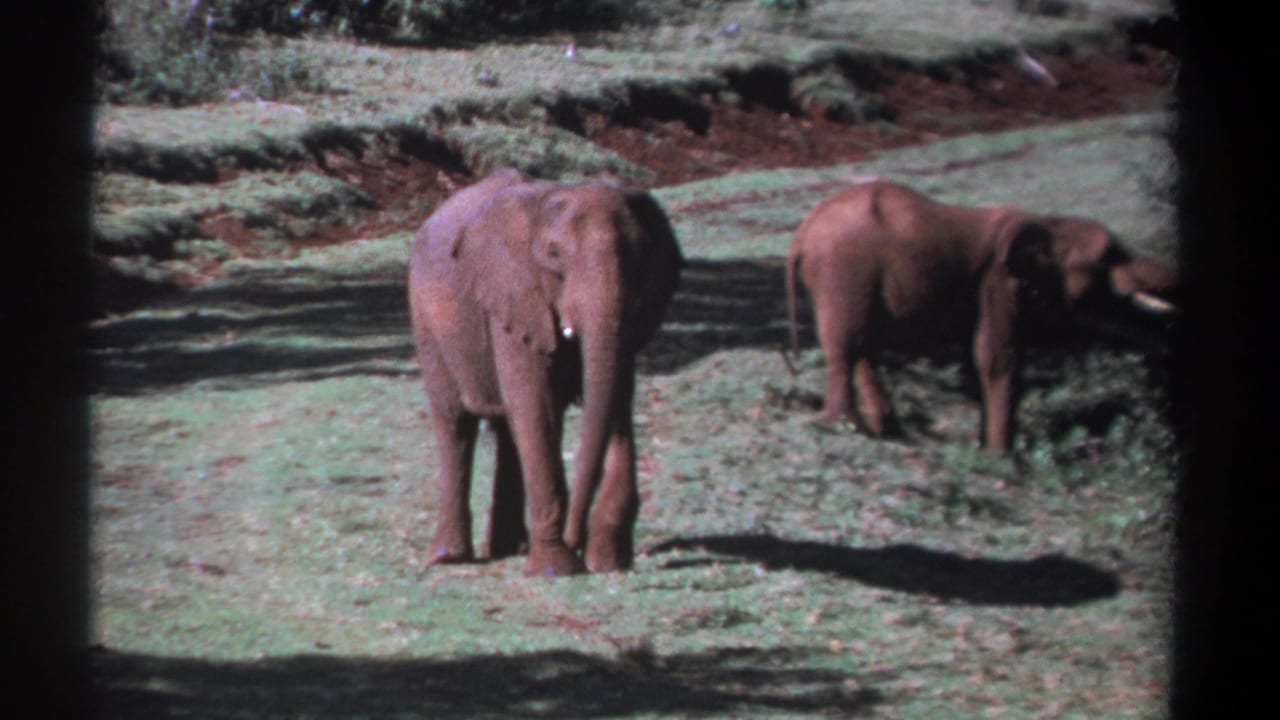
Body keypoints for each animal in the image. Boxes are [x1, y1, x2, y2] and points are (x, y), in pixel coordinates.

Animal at [408, 168, 683, 576]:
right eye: (554, 255)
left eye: (641, 255)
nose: (576, 540)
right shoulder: (513, 297)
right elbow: (536, 405)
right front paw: (558, 568)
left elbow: (617, 397)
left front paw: (608, 561)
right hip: (428, 323)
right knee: (456, 423)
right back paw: (449, 558)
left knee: (507, 431)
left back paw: (510, 548)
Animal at [785, 179, 1176, 452]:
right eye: (1109, 257)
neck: (1048, 225)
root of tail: (804, 230)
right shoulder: (999, 281)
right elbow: (998, 357)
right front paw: (1003, 460)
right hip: (844, 267)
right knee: (846, 343)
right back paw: (842, 425)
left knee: (863, 343)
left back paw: (886, 432)